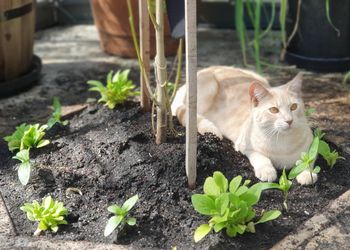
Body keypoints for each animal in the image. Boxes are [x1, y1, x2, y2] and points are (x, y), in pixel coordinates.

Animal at [173, 66, 318, 186]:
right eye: (274, 110)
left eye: (293, 107)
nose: (289, 120)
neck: (282, 142)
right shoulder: (245, 146)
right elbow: (261, 157)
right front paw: (267, 171)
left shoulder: (312, 145)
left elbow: (307, 160)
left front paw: (307, 173)